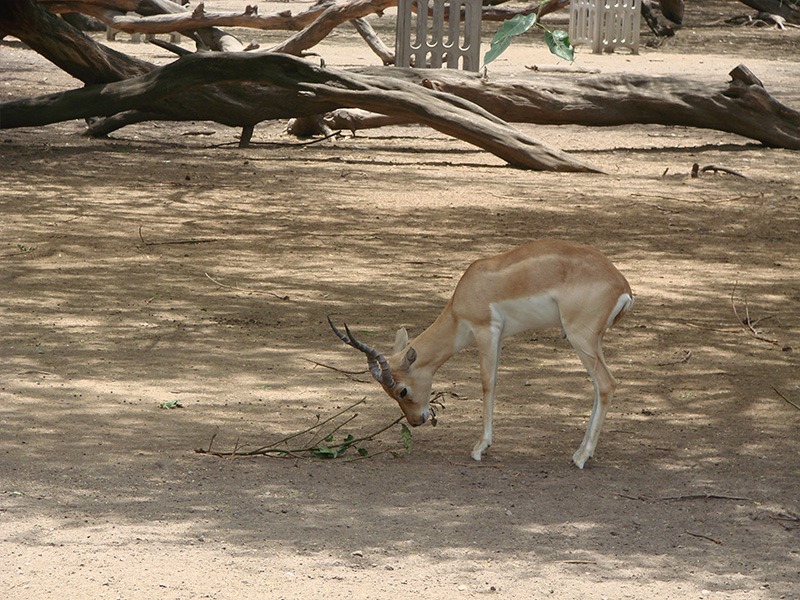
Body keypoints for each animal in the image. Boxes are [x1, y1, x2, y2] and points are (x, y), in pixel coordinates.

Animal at [328, 239, 636, 468]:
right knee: (598, 387)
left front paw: (480, 448)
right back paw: (580, 452)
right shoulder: (498, 338)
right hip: (593, 340)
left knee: (606, 384)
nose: (417, 421)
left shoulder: (485, 330)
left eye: (402, 390)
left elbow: (488, 384)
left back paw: (582, 458)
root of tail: (622, 285)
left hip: (580, 337)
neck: (468, 292)